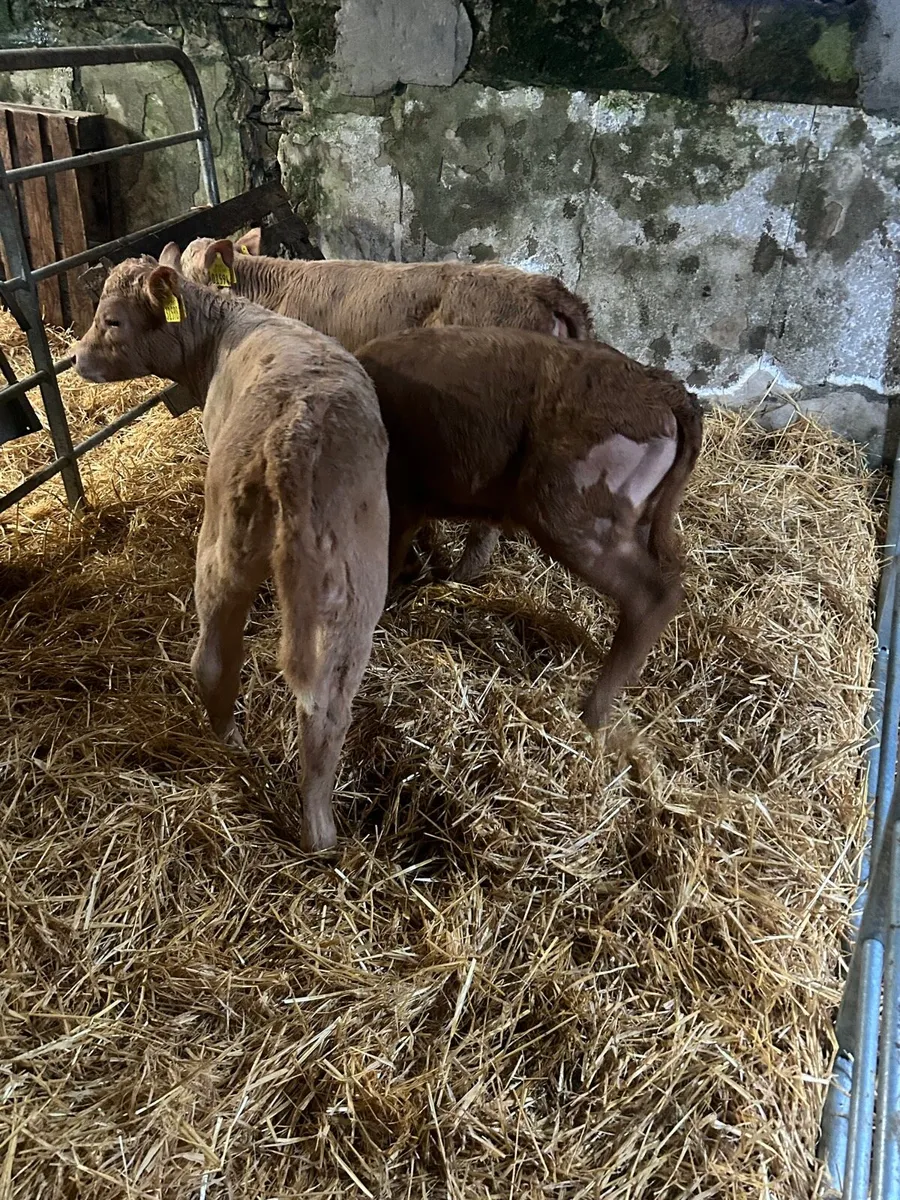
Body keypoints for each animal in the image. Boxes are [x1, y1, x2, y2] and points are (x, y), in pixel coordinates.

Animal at [72, 257, 390, 852]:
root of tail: (293, 431)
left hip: (224, 545)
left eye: (113, 320)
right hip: (350, 580)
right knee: (324, 704)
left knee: (217, 661)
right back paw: (319, 832)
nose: (77, 358)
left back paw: (234, 748)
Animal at [353, 326, 703, 730]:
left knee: (653, 594)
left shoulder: (397, 502)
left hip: (571, 518)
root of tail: (661, 386)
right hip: (637, 522)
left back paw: (593, 712)